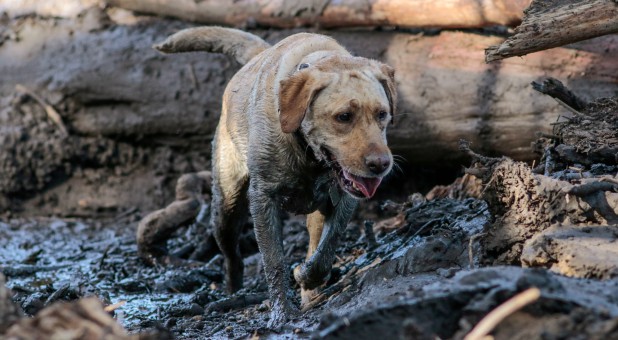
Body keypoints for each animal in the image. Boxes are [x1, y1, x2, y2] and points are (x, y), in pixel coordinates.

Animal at [154, 27, 394, 326]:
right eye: (344, 116)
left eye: (382, 114)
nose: (381, 164)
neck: (308, 153)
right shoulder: (263, 198)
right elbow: (274, 259)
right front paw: (282, 312)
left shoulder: (344, 199)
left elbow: (326, 249)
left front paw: (307, 276)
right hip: (226, 207)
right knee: (232, 254)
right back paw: (232, 290)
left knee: (314, 241)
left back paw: (310, 291)